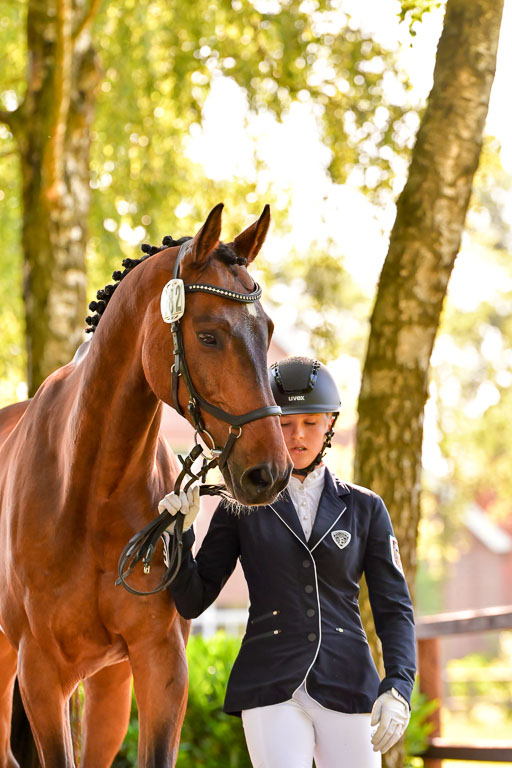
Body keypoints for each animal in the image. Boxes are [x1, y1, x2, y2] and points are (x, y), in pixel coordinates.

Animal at [0, 203, 292, 768]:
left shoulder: (160, 664)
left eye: (266, 331)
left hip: (106, 683)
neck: (89, 489)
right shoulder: (42, 673)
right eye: (208, 335)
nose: (270, 472)